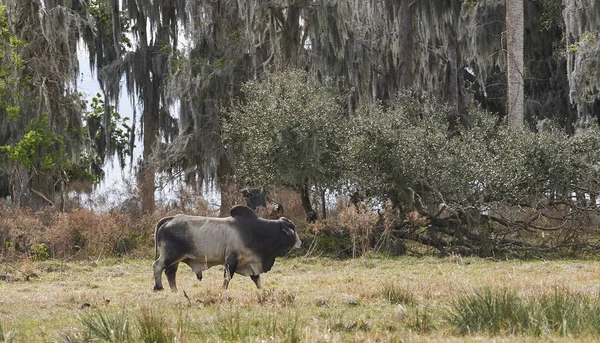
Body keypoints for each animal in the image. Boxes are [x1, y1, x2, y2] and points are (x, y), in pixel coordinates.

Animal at [150, 206, 300, 292]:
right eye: (292, 228)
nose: (300, 242)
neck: (255, 231)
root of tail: (171, 219)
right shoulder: (231, 260)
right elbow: (227, 278)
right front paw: (223, 291)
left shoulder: (250, 262)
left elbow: (257, 279)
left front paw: (262, 290)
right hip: (170, 255)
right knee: (157, 266)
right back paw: (159, 287)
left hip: (175, 259)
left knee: (170, 272)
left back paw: (174, 290)